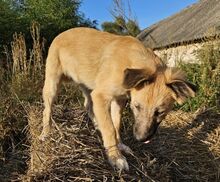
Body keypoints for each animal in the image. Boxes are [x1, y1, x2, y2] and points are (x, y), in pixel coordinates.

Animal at [39, 27, 196, 171]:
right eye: (137, 107)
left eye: (160, 112)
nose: (141, 139)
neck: (130, 63)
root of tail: (61, 34)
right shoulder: (101, 95)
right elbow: (109, 128)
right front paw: (115, 157)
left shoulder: (118, 100)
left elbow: (116, 124)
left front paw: (119, 145)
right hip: (53, 83)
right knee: (47, 110)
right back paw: (45, 134)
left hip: (88, 85)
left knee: (88, 105)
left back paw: (97, 125)